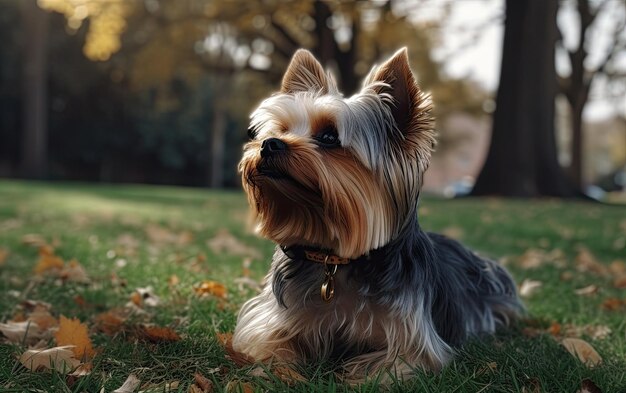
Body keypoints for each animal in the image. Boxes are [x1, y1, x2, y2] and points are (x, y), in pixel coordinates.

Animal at [232, 47, 520, 382]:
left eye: (329, 137)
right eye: (281, 130)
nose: (269, 144)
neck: (335, 261)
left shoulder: (412, 342)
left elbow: (392, 365)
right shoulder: (275, 323)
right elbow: (273, 347)